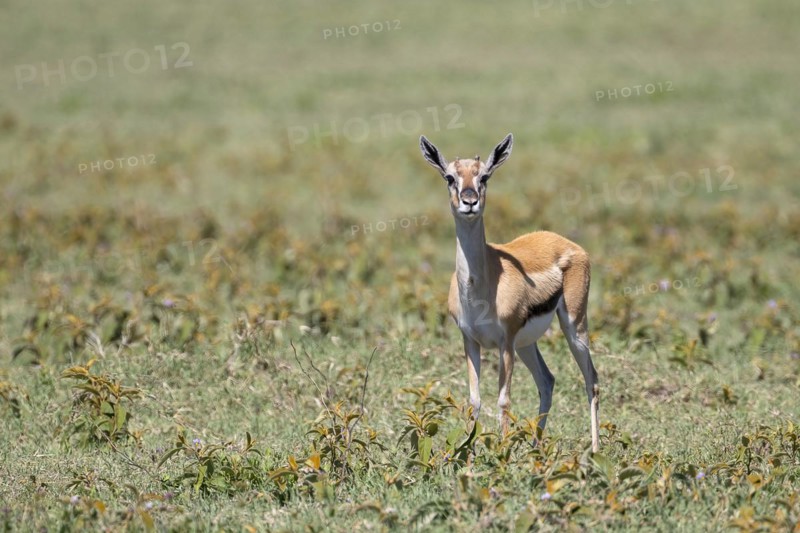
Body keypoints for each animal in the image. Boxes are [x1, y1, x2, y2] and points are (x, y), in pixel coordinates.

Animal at [419, 133, 600, 452]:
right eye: (450, 177)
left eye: (484, 176)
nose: (469, 201)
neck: (481, 287)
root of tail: (567, 243)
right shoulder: (470, 340)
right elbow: (475, 401)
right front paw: (469, 453)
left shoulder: (505, 342)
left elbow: (503, 401)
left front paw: (501, 453)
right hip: (526, 344)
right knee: (547, 380)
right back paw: (537, 448)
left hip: (573, 327)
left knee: (592, 378)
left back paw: (595, 449)